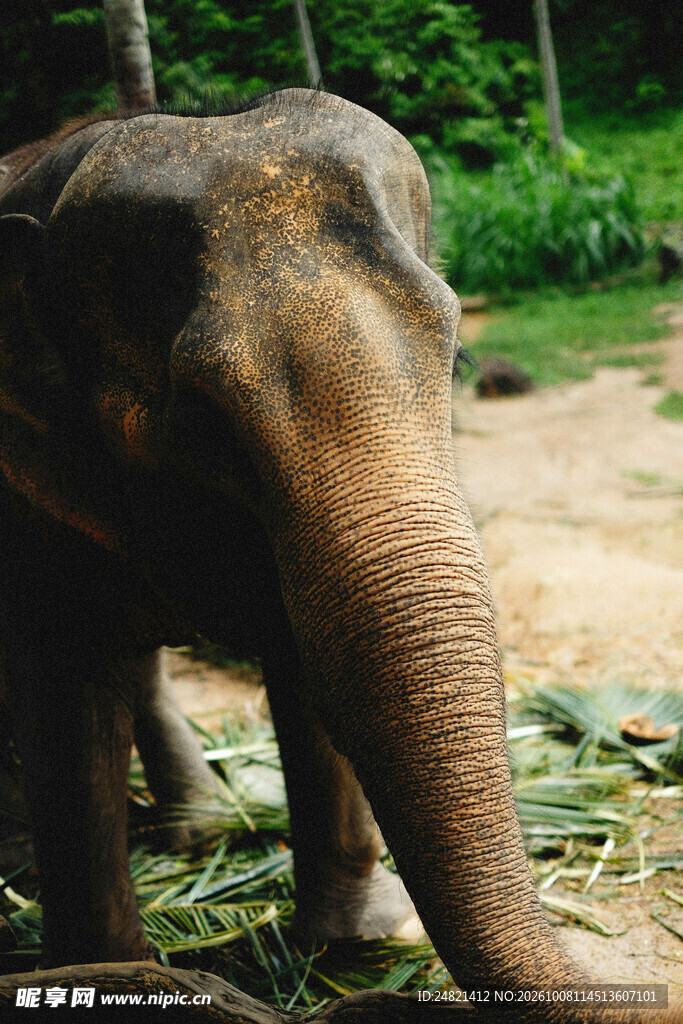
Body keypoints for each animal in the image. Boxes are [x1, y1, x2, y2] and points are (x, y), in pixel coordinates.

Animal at [0, 88, 676, 1022]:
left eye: (456, 358)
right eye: (203, 419)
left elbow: (307, 655)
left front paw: (356, 939)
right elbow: (64, 695)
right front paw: (107, 977)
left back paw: (199, 829)